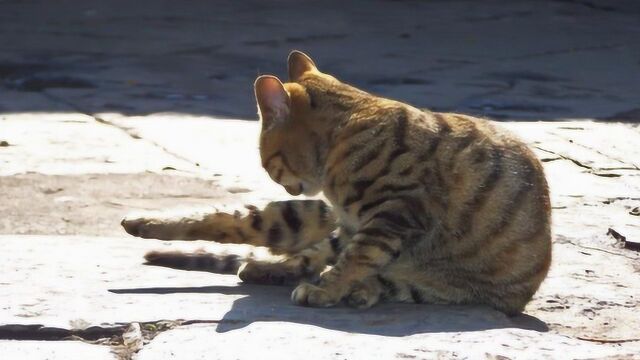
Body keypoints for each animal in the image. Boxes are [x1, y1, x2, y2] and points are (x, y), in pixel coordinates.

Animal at [122, 50, 552, 316]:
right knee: (260, 233)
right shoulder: (353, 222)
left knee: (372, 274)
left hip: (439, 278)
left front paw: (328, 289)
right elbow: (339, 256)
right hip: (312, 220)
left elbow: (357, 259)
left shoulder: (396, 212)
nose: (282, 183)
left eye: (268, 162)